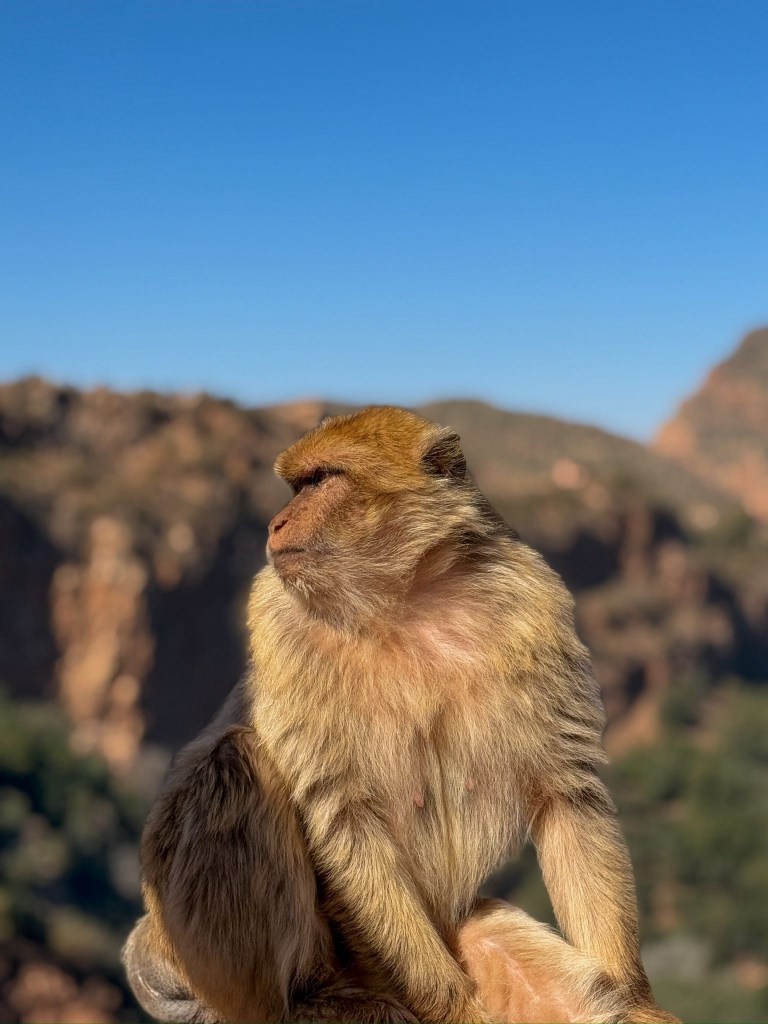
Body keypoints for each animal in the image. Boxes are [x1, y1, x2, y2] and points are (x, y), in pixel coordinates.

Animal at [124, 406, 678, 1024]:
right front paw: (452, 1008)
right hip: (205, 948)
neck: (402, 602)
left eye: (319, 481)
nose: (275, 523)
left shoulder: (534, 605)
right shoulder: (275, 615)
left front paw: (635, 999)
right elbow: (341, 815)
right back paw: (310, 995)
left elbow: (567, 795)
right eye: (298, 486)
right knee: (234, 760)